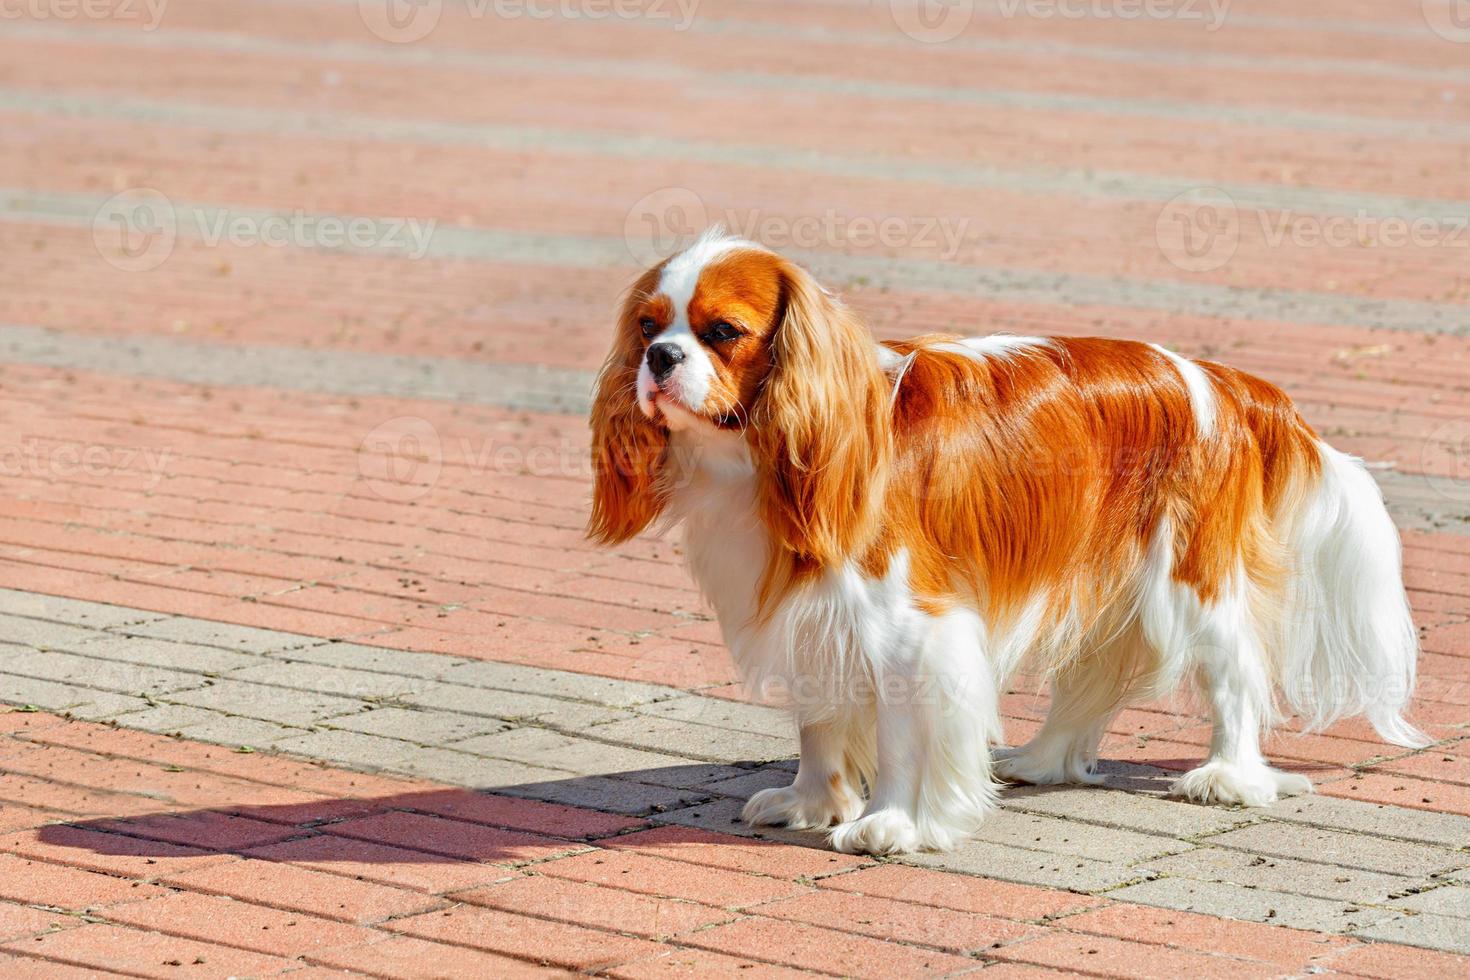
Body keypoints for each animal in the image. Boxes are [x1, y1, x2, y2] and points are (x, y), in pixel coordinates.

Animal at [585, 226, 1422, 852]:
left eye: (723, 333)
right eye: (647, 327)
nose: (660, 358)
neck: (759, 459)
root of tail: (1224, 381)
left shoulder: (908, 627)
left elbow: (899, 734)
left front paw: (889, 823)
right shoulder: (814, 613)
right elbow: (819, 720)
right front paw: (813, 802)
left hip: (1193, 582)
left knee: (1235, 676)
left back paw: (1229, 777)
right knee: (1093, 677)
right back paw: (1043, 762)